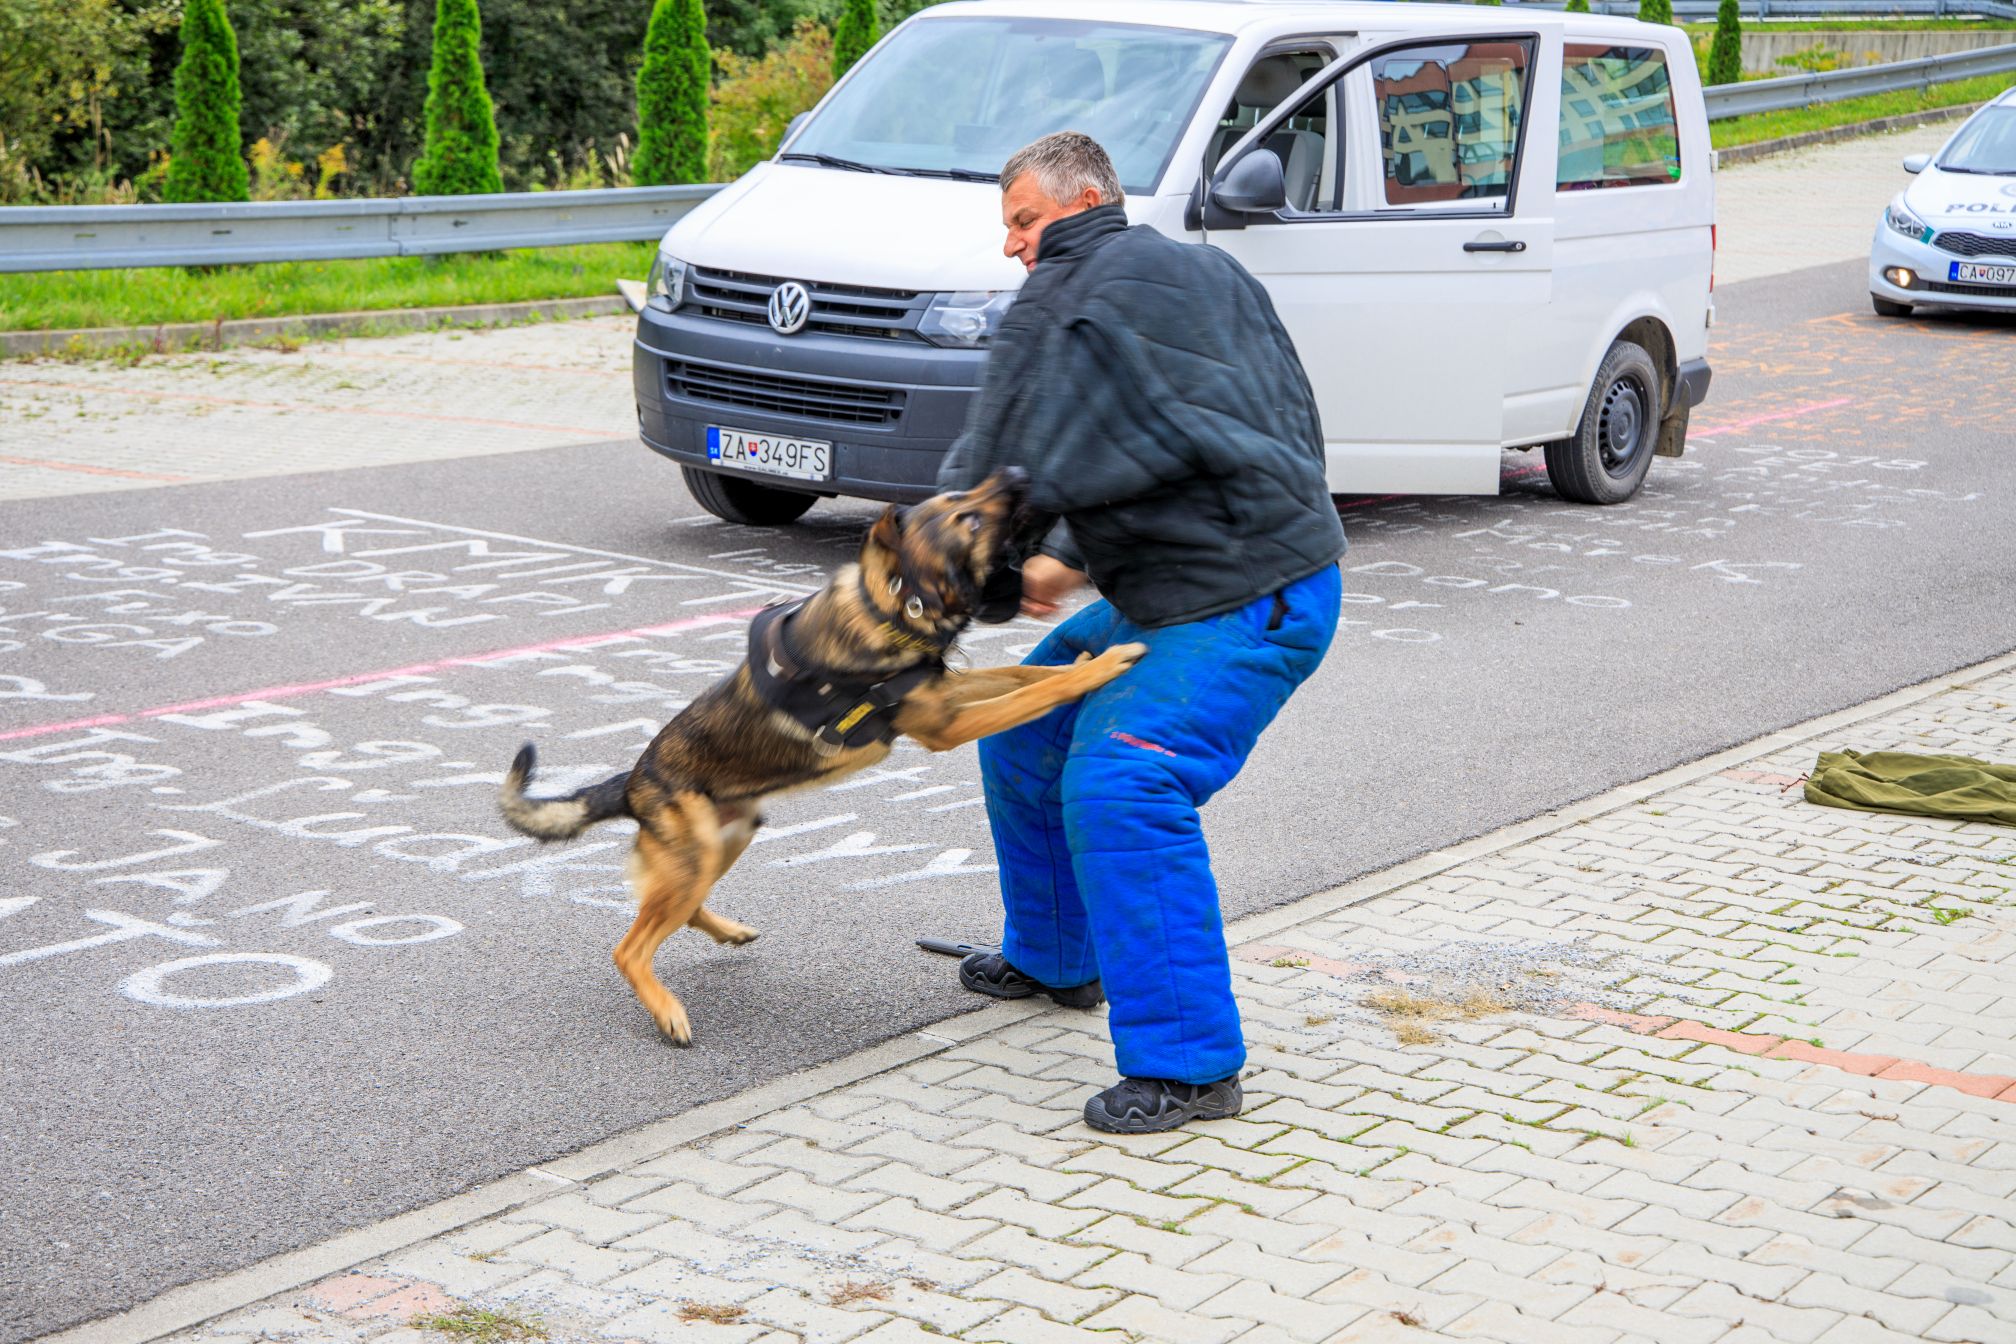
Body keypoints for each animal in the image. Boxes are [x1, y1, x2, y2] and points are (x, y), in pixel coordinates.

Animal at [497, 468, 1146, 1045]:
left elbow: (1028, 674)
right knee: (630, 946)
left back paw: (727, 932)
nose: (1017, 471)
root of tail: (632, 781)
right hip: (699, 849)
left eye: (969, 494)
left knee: (675, 909)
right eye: (966, 516)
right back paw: (667, 1012)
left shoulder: (947, 694)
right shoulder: (946, 723)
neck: (895, 603)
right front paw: (1105, 665)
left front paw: (1082, 660)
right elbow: (1033, 691)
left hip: (725, 839)